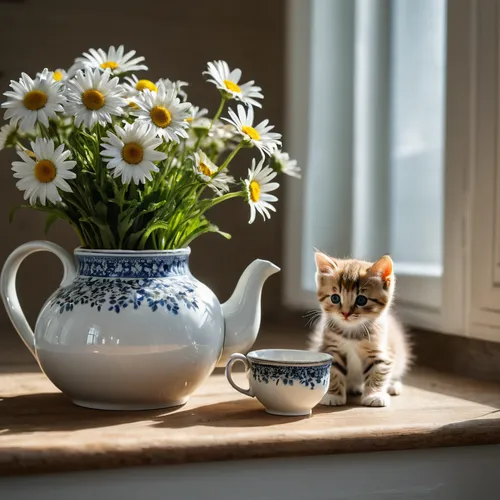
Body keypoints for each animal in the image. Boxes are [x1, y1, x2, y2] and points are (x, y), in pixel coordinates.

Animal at [310, 252, 412, 408]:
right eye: (335, 298)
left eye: (361, 300)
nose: (345, 313)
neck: (351, 332)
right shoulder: (331, 348)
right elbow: (333, 372)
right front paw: (333, 395)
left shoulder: (380, 351)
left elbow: (379, 372)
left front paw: (375, 395)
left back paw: (393, 386)